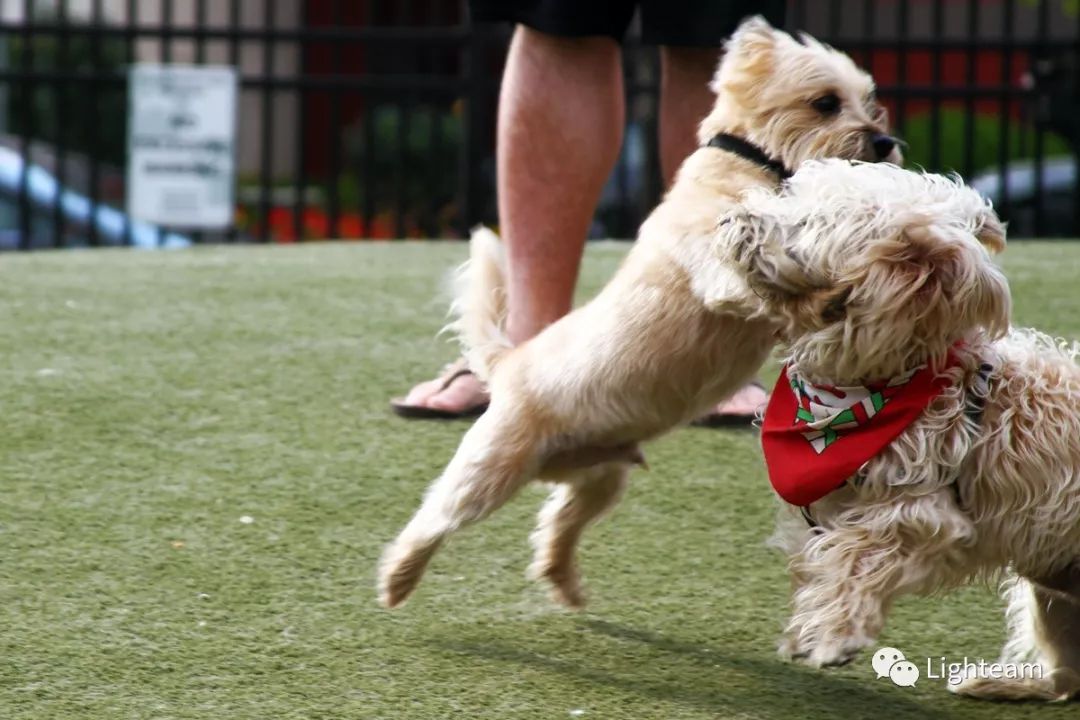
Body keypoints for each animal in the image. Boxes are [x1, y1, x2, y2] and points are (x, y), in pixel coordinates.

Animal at [375, 16, 898, 613]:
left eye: (869, 100)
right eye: (825, 103)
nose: (885, 141)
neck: (750, 166)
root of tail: (510, 364)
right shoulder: (719, 270)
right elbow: (765, 290)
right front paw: (823, 298)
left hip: (599, 477)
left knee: (556, 526)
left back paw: (565, 585)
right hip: (493, 466)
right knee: (435, 516)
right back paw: (397, 580)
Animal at [725, 158, 1080, 703]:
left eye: (810, 222)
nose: (731, 216)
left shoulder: (923, 511)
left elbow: (855, 552)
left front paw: (833, 634)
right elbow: (818, 559)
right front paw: (809, 626)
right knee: (1068, 679)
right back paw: (1000, 683)